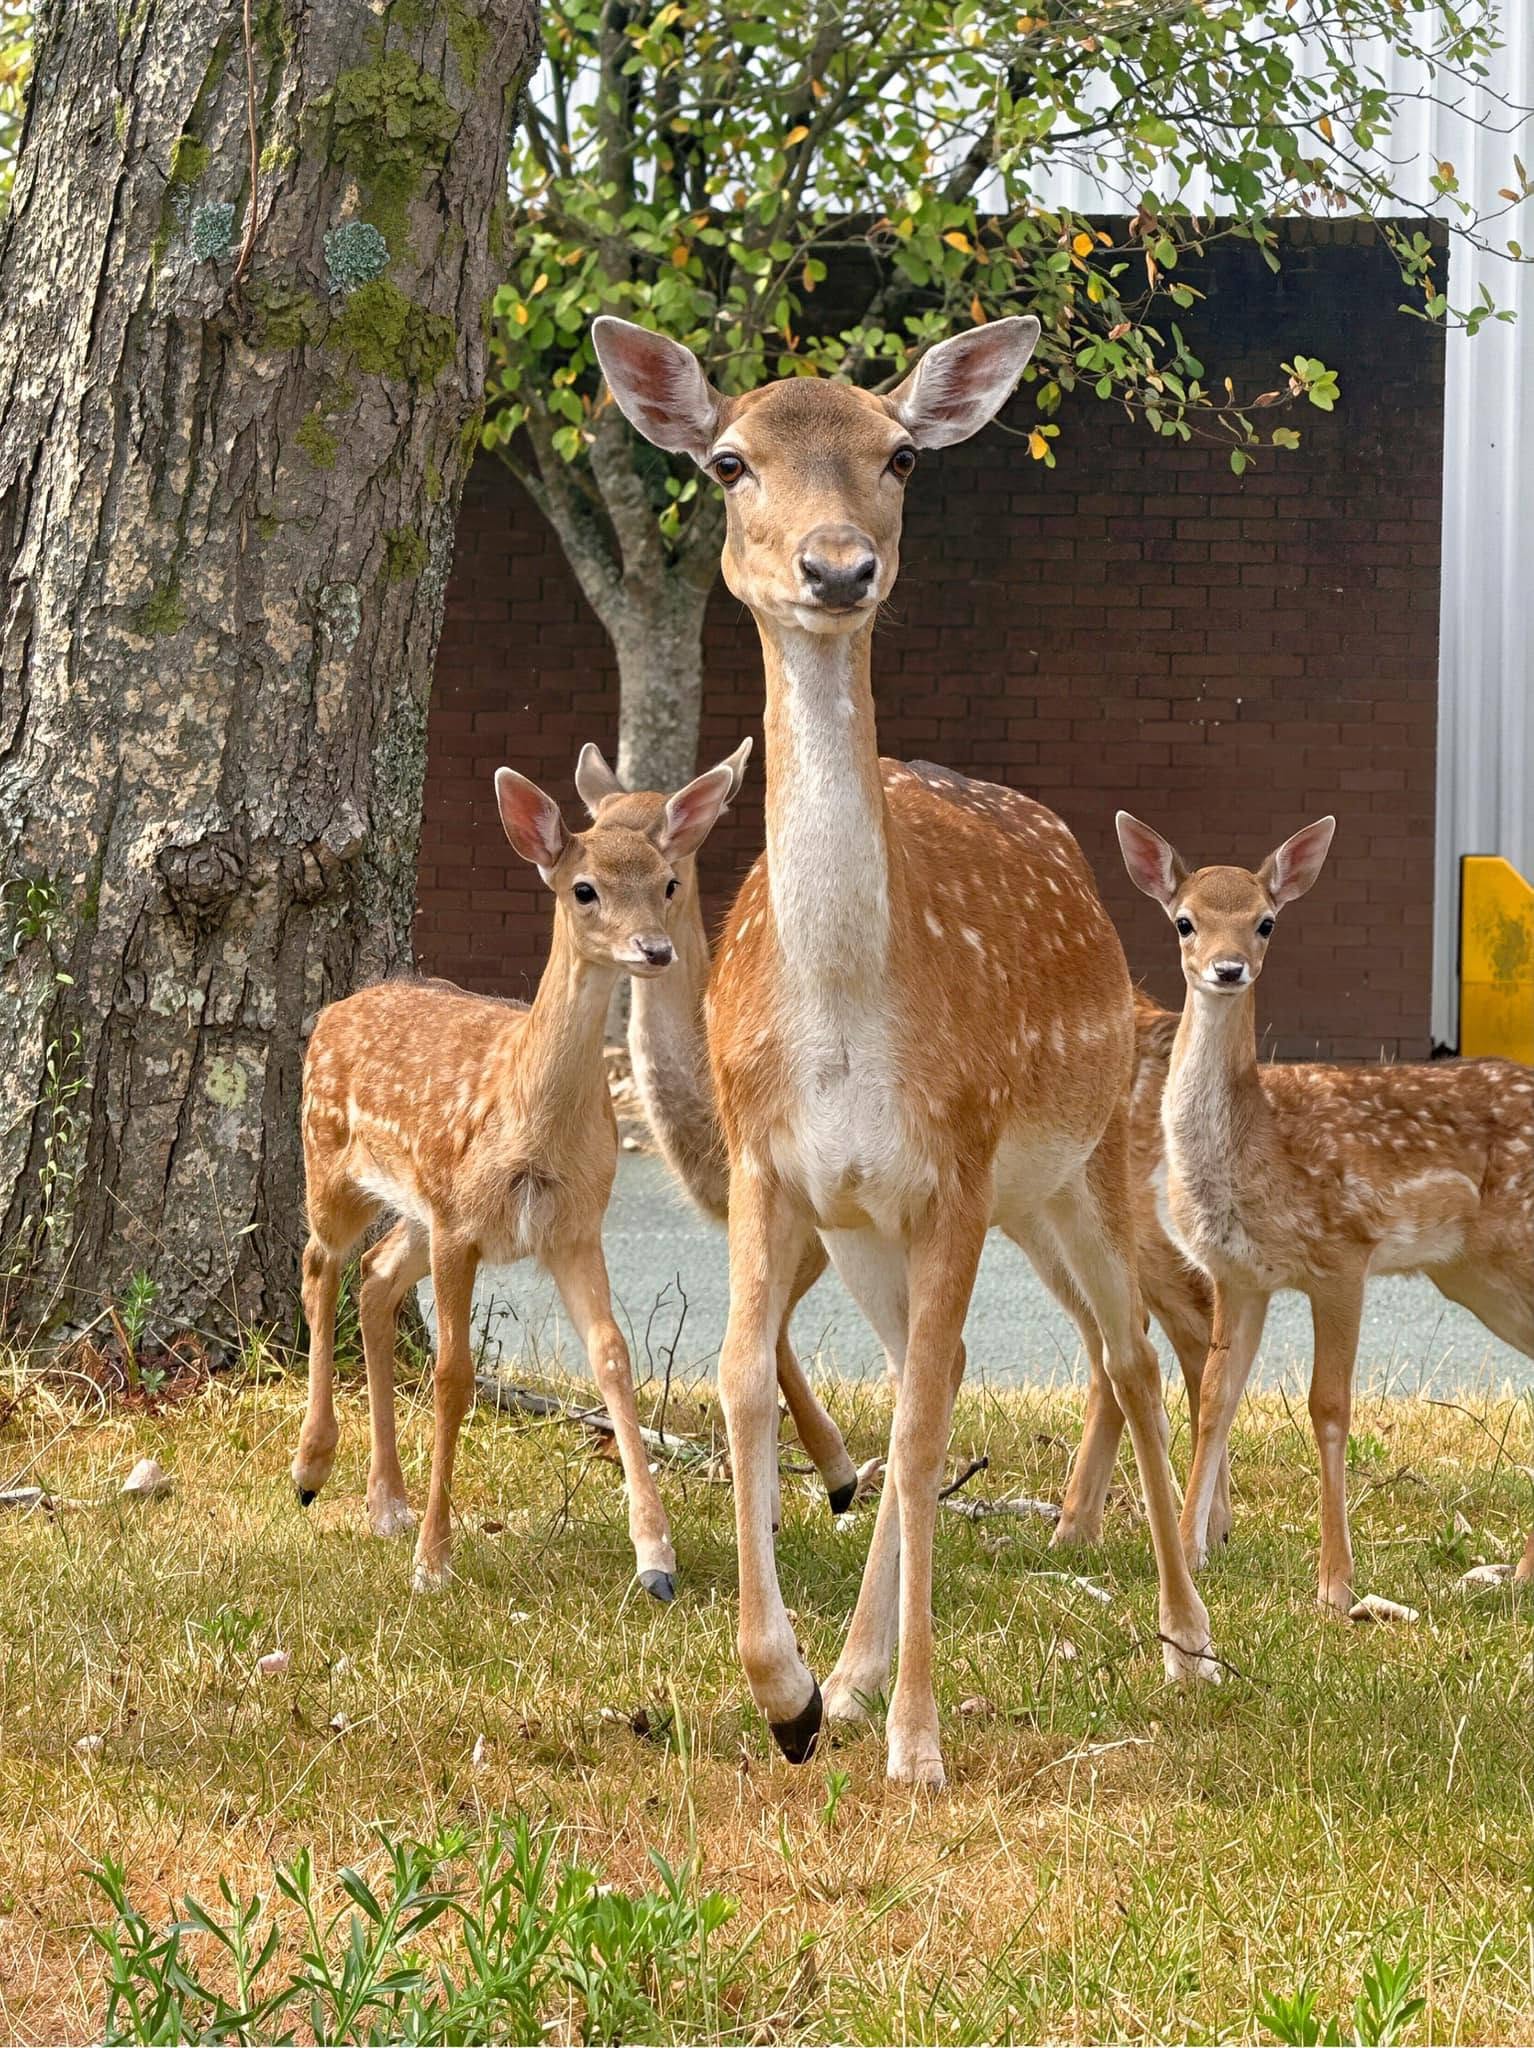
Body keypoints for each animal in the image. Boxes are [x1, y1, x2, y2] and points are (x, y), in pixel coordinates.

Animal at [291, 749, 740, 1603]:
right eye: (584, 888)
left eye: (667, 882)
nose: (654, 950)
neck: (532, 1124)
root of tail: (335, 1009)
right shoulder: (461, 1227)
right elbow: (452, 1375)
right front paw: (434, 1561)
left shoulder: (572, 1226)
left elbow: (613, 1358)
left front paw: (656, 1558)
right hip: (330, 1159)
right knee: (319, 1264)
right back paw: (311, 1466)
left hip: (419, 1208)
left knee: (373, 1276)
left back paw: (385, 1503)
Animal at [593, 313, 1220, 1788]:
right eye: (726, 461)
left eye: (898, 457)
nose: (836, 565)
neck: (842, 1019)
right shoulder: (771, 1166)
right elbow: (749, 1385)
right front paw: (792, 1695)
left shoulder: (958, 1161)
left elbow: (932, 1415)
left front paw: (920, 1747)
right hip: (896, 1219)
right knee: (937, 1369)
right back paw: (862, 1667)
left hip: (1073, 1171)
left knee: (1127, 1350)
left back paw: (1184, 1642)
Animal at [1117, 811, 1534, 1610]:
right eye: (1185, 921)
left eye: (1266, 921)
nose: (1227, 969)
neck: (1257, 1146)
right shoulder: (1237, 1274)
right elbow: (1215, 1398)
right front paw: (1190, 1555)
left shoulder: (1344, 1254)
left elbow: (1329, 1408)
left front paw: (1336, 1586)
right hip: (1477, 1277)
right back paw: (1518, 1572)